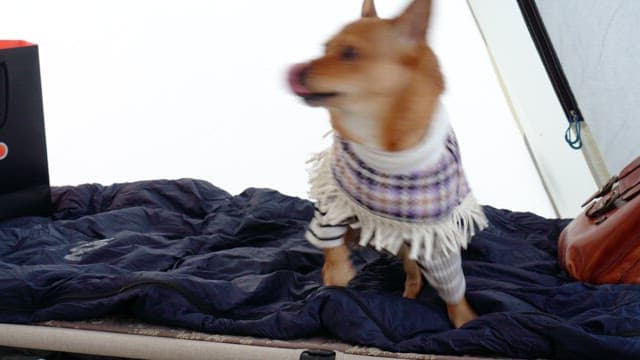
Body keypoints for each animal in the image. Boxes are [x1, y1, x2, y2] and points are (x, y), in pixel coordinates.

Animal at [288, 0, 488, 328]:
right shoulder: (334, 201)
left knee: (414, 271)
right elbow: (331, 247)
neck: (384, 147)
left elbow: (452, 288)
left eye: (349, 53)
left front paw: (465, 320)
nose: (297, 70)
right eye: (324, 49)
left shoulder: (434, 235)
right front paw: (336, 276)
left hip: (410, 245)